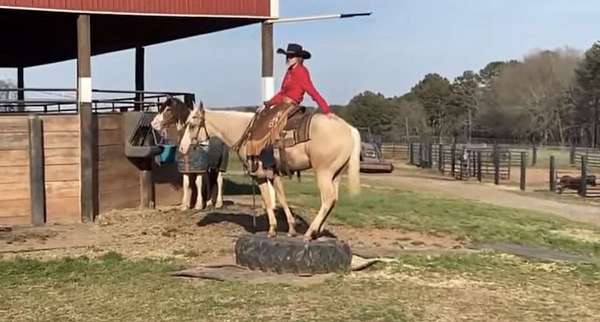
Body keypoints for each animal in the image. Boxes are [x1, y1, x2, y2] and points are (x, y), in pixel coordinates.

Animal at [178, 104, 360, 240]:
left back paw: (310, 233)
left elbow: (272, 199)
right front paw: (281, 229)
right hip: (335, 175)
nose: (182, 148)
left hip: (323, 173)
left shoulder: (261, 175)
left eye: (192, 125)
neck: (246, 132)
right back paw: (318, 231)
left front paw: (283, 229)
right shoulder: (268, 176)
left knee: (328, 199)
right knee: (333, 199)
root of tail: (349, 129)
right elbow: (274, 199)